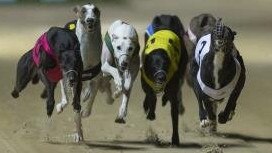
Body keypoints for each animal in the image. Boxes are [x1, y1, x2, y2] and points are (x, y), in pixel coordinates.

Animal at [140, 14, 187, 145]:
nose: (161, 77)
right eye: (153, 65)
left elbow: (174, 116)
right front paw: (151, 113)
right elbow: (151, 95)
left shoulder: (174, 86)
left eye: (166, 64)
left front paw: (175, 139)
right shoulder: (144, 81)